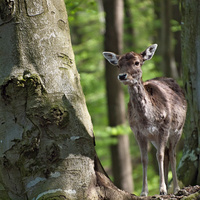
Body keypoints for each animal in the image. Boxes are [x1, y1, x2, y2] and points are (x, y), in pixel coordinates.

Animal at [103, 44, 188, 197]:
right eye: (118, 65)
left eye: (137, 62)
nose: (122, 76)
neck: (147, 119)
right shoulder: (138, 132)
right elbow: (144, 159)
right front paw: (144, 192)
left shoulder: (164, 128)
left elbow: (159, 155)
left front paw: (162, 189)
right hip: (154, 138)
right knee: (167, 153)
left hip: (178, 129)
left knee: (172, 154)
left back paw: (176, 188)